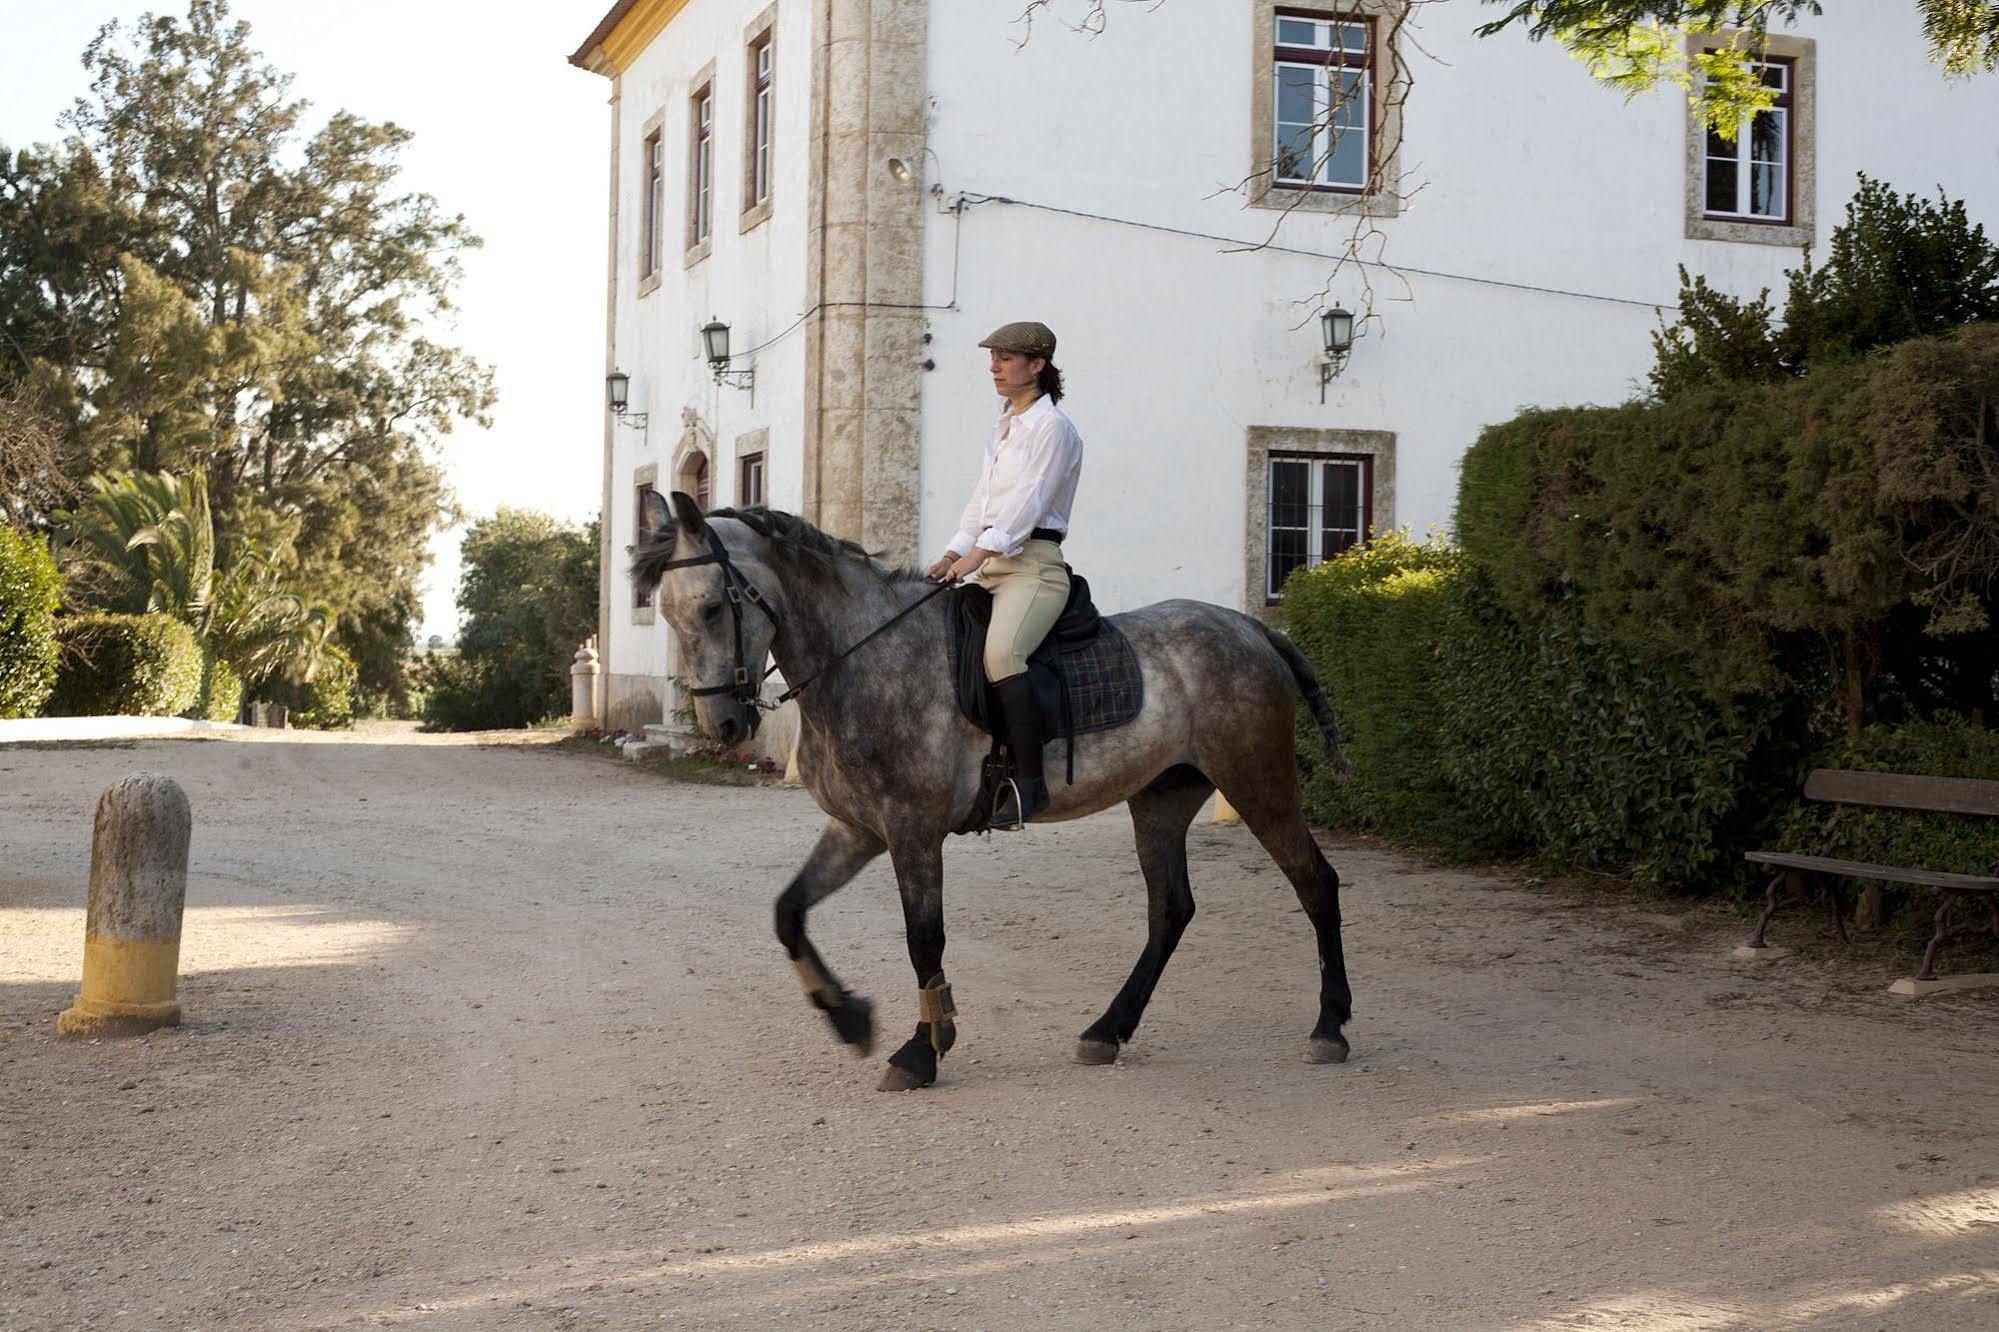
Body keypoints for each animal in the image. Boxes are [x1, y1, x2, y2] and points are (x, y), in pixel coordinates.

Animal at [635, 490, 1359, 1088]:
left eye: (710, 606)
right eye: (664, 613)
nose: (723, 725)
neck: (866, 659)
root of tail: (1250, 628)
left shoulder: (912, 831)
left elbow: (923, 939)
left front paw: (922, 1050)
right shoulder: (858, 829)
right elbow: (788, 913)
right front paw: (849, 1017)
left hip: (1258, 783)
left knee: (1315, 884)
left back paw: (1330, 1026)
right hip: (1161, 798)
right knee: (1170, 912)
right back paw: (1107, 1030)